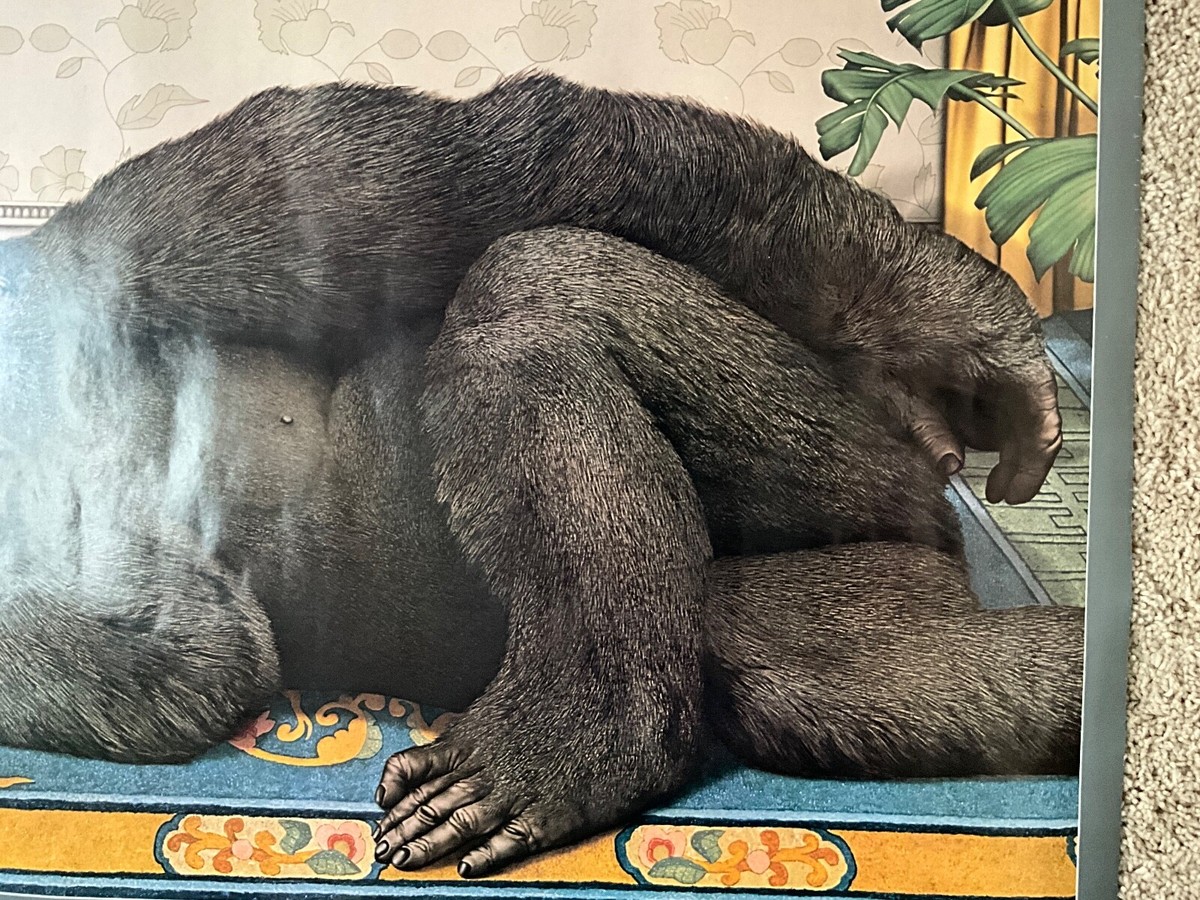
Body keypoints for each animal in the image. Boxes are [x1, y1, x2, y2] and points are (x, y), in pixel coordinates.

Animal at [0, 73, 1079, 878]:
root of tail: (934, 547)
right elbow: (185, 656)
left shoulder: (132, 239)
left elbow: (478, 171)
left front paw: (951, 313)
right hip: (856, 587)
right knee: (854, 674)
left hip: (855, 465)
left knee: (530, 290)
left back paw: (585, 734)